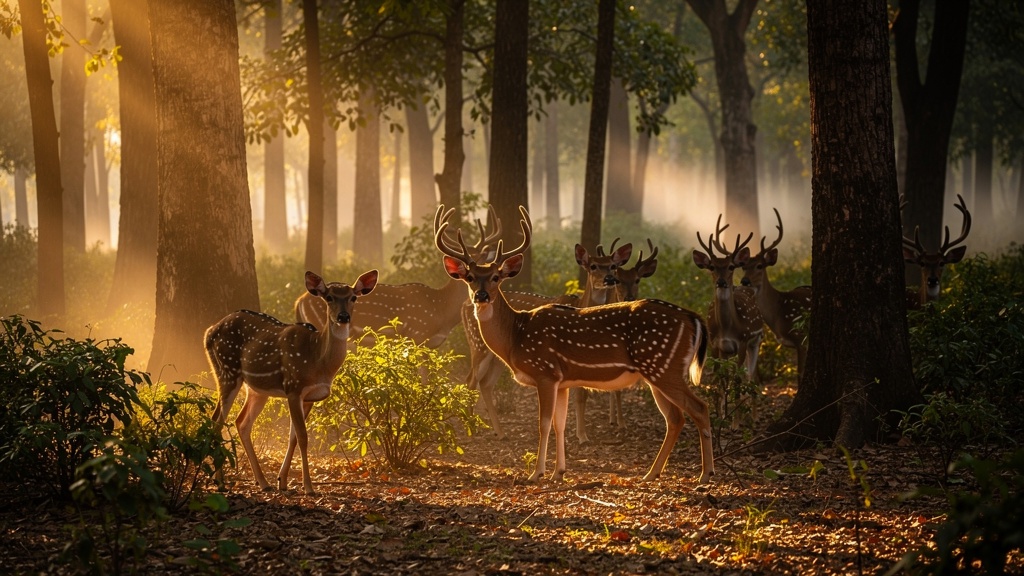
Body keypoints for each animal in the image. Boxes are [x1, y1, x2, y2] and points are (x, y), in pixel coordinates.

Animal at [205, 269, 378, 495]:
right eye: (329, 297)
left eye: (353, 297)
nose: (343, 317)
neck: (318, 361)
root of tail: (209, 332)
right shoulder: (294, 387)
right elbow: (303, 437)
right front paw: (308, 487)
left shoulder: (311, 397)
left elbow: (294, 437)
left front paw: (283, 481)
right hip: (227, 370)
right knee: (217, 422)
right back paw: (220, 482)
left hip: (256, 389)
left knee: (240, 422)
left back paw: (263, 482)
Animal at [294, 206, 501, 347]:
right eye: (469, 272)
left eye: (482, 262)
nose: (481, 293)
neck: (441, 310)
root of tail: (299, 301)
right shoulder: (417, 334)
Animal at [437, 205, 714, 484]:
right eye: (470, 277)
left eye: (495, 277)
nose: (481, 295)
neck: (517, 335)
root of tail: (695, 319)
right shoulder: (562, 381)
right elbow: (560, 423)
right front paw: (559, 471)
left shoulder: (545, 372)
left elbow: (544, 423)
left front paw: (536, 473)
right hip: (658, 372)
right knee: (675, 418)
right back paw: (652, 473)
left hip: (663, 367)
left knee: (699, 408)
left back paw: (705, 473)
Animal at [691, 215, 764, 382]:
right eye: (712, 267)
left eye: (731, 266)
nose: (721, 282)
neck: (727, 328)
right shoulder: (715, 344)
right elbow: (720, 376)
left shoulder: (743, 341)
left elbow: (737, 378)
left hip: (756, 340)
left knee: (750, 375)